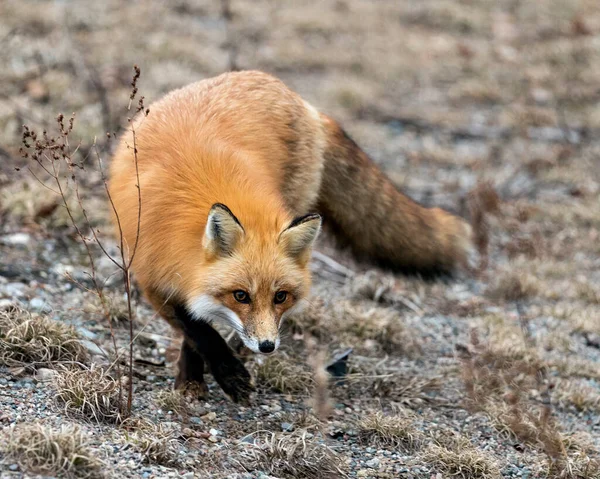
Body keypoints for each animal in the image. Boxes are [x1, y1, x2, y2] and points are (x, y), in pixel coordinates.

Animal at [109, 69, 474, 404]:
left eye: (281, 296)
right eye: (241, 296)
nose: (267, 346)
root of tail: (296, 97)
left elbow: (198, 327)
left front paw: (214, 373)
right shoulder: (152, 277)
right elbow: (198, 329)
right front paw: (216, 374)